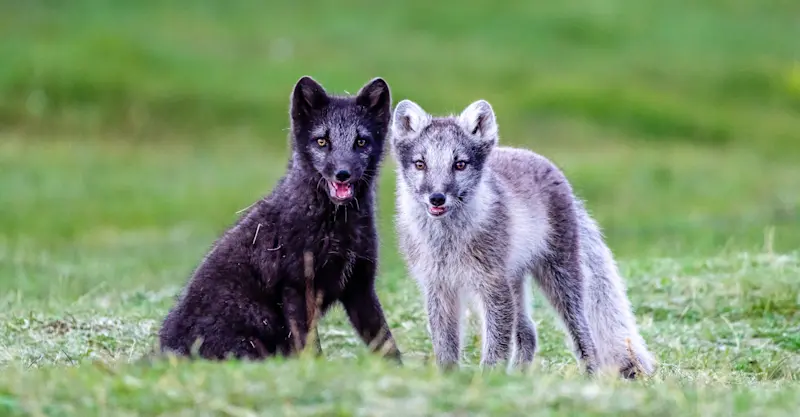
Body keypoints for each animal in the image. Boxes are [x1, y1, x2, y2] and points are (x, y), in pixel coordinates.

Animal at [157, 76, 401, 362]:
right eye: (322, 142)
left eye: (361, 142)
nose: (343, 173)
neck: (338, 227)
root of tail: (163, 349)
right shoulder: (296, 286)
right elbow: (310, 345)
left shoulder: (360, 286)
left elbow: (386, 342)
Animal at [389, 98, 655, 378]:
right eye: (420, 164)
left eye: (459, 164)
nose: (437, 198)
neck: (447, 243)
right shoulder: (438, 286)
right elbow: (445, 344)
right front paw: (449, 379)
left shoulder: (493, 284)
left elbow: (496, 344)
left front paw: (489, 380)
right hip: (515, 281)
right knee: (529, 333)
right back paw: (520, 378)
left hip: (560, 275)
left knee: (583, 333)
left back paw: (590, 376)